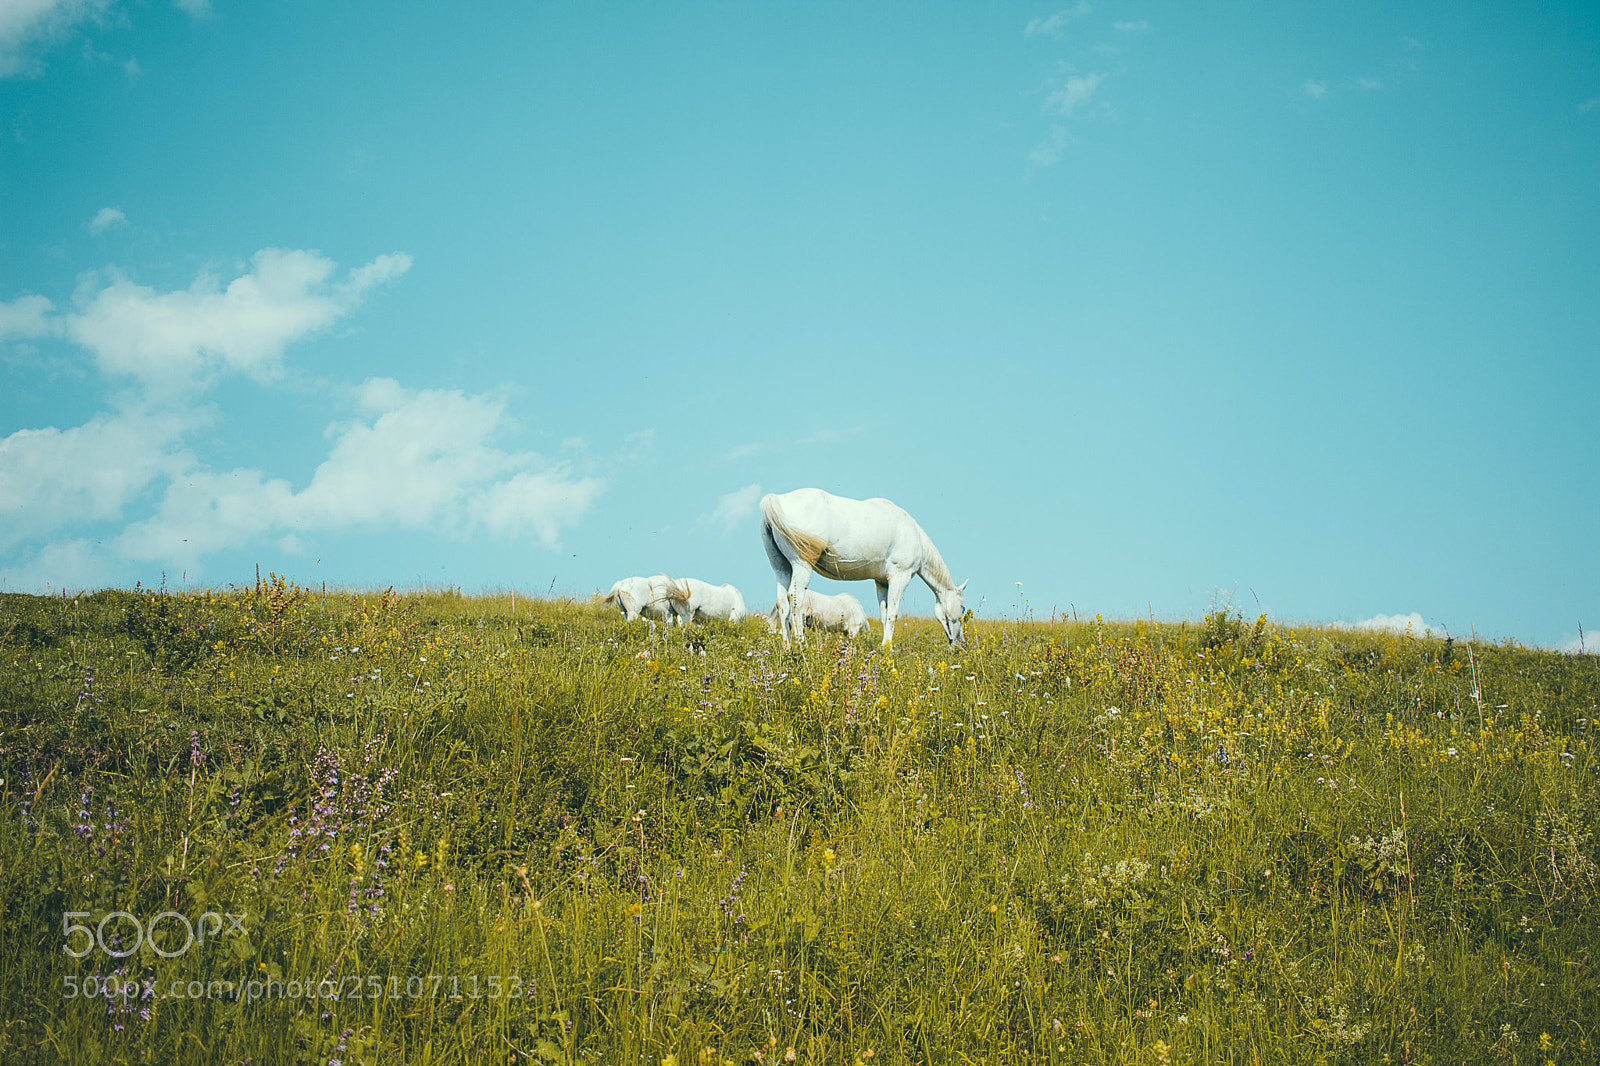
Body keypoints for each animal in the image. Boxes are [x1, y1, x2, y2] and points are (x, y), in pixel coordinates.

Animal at [760, 487, 967, 648]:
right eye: (963, 608)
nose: (960, 643)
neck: (915, 536)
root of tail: (776, 499)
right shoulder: (900, 577)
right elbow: (893, 614)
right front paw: (887, 649)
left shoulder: (881, 582)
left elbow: (884, 615)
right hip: (801, 566)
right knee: (795, 602)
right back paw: (802, 645)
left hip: (781, 567)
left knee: (782, 604)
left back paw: (787, 647)